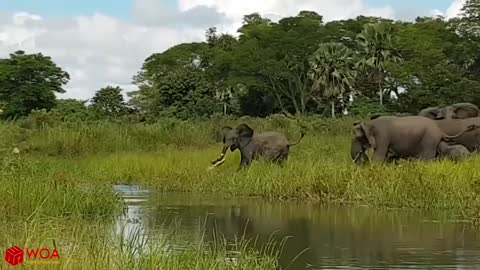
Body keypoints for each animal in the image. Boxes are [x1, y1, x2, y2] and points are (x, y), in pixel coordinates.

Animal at [350, 115, 478, 163]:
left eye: (358, 137)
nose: (362, 159)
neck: (370, 122)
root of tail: (440, 130)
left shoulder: (383, 136)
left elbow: (379, 156)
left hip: (429, 139)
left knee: (426, 158)